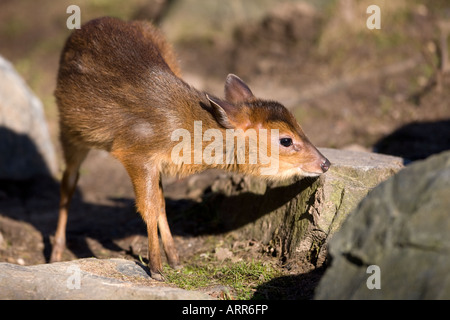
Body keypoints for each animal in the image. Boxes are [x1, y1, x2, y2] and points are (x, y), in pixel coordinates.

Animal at [51, 16, 328, 280]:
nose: (325, 163)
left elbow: (160, 205)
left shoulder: (156, 162)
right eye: (286, 140)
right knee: (68, 181)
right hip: (69, 128)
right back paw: (55, 253)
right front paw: (155, 269)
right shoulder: (135, 151)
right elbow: (149, 207)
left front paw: (171, 261)